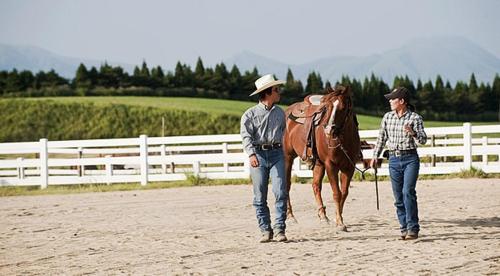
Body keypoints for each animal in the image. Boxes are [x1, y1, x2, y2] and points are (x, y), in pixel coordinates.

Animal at [286, 85, 360, 230]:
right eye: (327, 107)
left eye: (343, 107)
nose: (328, 130)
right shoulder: (331, 165)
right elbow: (336, 193)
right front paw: (340, 222)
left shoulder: (349, 167)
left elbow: (344, 193)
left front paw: (338, 218)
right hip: (287, 157)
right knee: (286, 185)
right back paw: (291, 216)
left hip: (319, 164)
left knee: (316, 186)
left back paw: (323, 216)